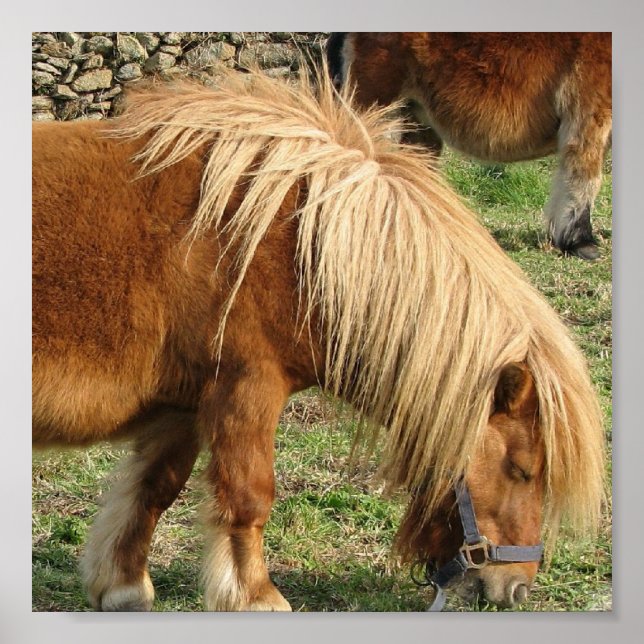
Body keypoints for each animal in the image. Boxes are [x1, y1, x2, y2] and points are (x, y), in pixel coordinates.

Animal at [32, 66, 606, 611]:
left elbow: (154, 490)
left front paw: (123, 586)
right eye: (522, 471)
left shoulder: (183, 405)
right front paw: (256, 596)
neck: (295, 242)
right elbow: (249, 496)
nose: (516, 587)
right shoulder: (247, 390)